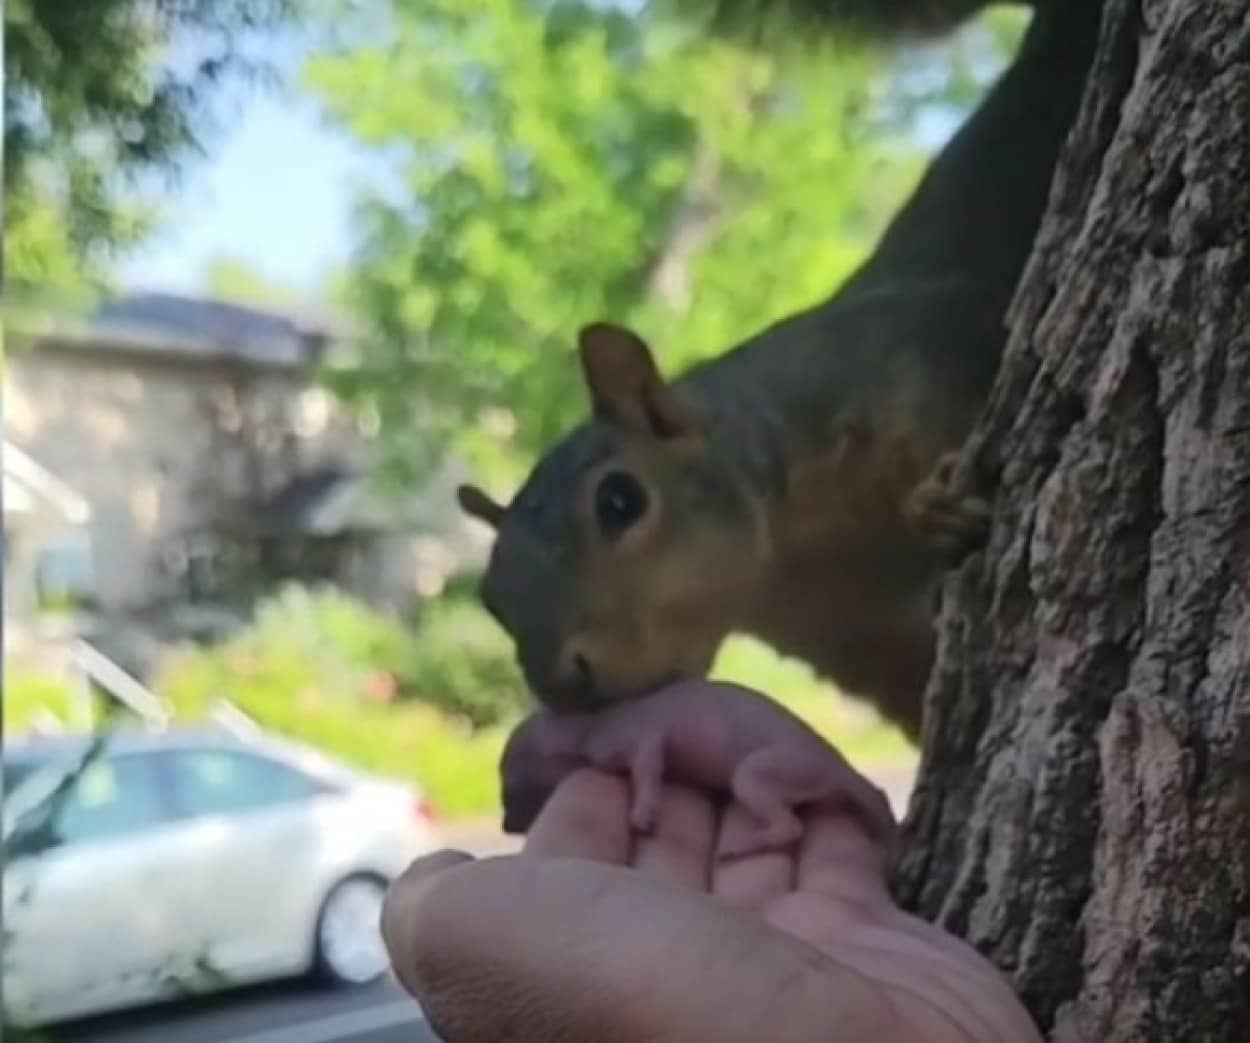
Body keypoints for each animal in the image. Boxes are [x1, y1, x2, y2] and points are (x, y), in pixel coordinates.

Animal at [460, 0, 1105, 740]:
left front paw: (941, 501)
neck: (796, 559)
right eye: (490, 597)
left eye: (619, 500)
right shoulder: (860, 640)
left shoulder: (922, 354)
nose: (566, 685)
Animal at [497, 680, 900, 855]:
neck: (587, 724)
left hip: (782, 766)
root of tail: (838, 764)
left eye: (507, 781)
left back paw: (746, 845)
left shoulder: (638, 735)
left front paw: (644, 813)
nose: (505, 827)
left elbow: (649, 761)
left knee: (787, 822)